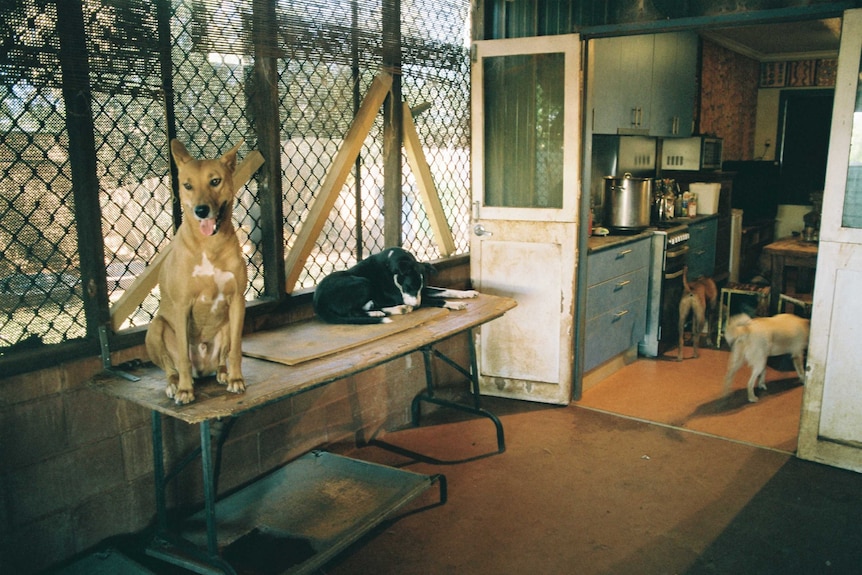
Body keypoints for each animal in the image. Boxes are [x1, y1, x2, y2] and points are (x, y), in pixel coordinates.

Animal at [145, 140, 246, 404]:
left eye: (215, 181)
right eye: (188, 185)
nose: (201, 210)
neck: (209, 245)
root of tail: (202, 371)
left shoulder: (237, 301)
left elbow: (236, 350)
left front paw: (236, 379)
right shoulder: (182, 306)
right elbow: (182, 356)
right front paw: (185, 390)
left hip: (225, 325)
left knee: (223, 356)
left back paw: (223, 373)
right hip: (156, 328)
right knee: (171, 367)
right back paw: (174, 384)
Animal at [316, 246, 482, 324]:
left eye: (419, 287)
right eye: (408, 287)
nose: (416, 306)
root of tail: (318, 303)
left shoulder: (423, 291)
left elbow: (445, 290)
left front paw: (467, 293)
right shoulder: (402, 296)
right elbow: (438, 299)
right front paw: (454, 304)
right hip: (363, 282)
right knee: (353, 312)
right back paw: (388, 311)